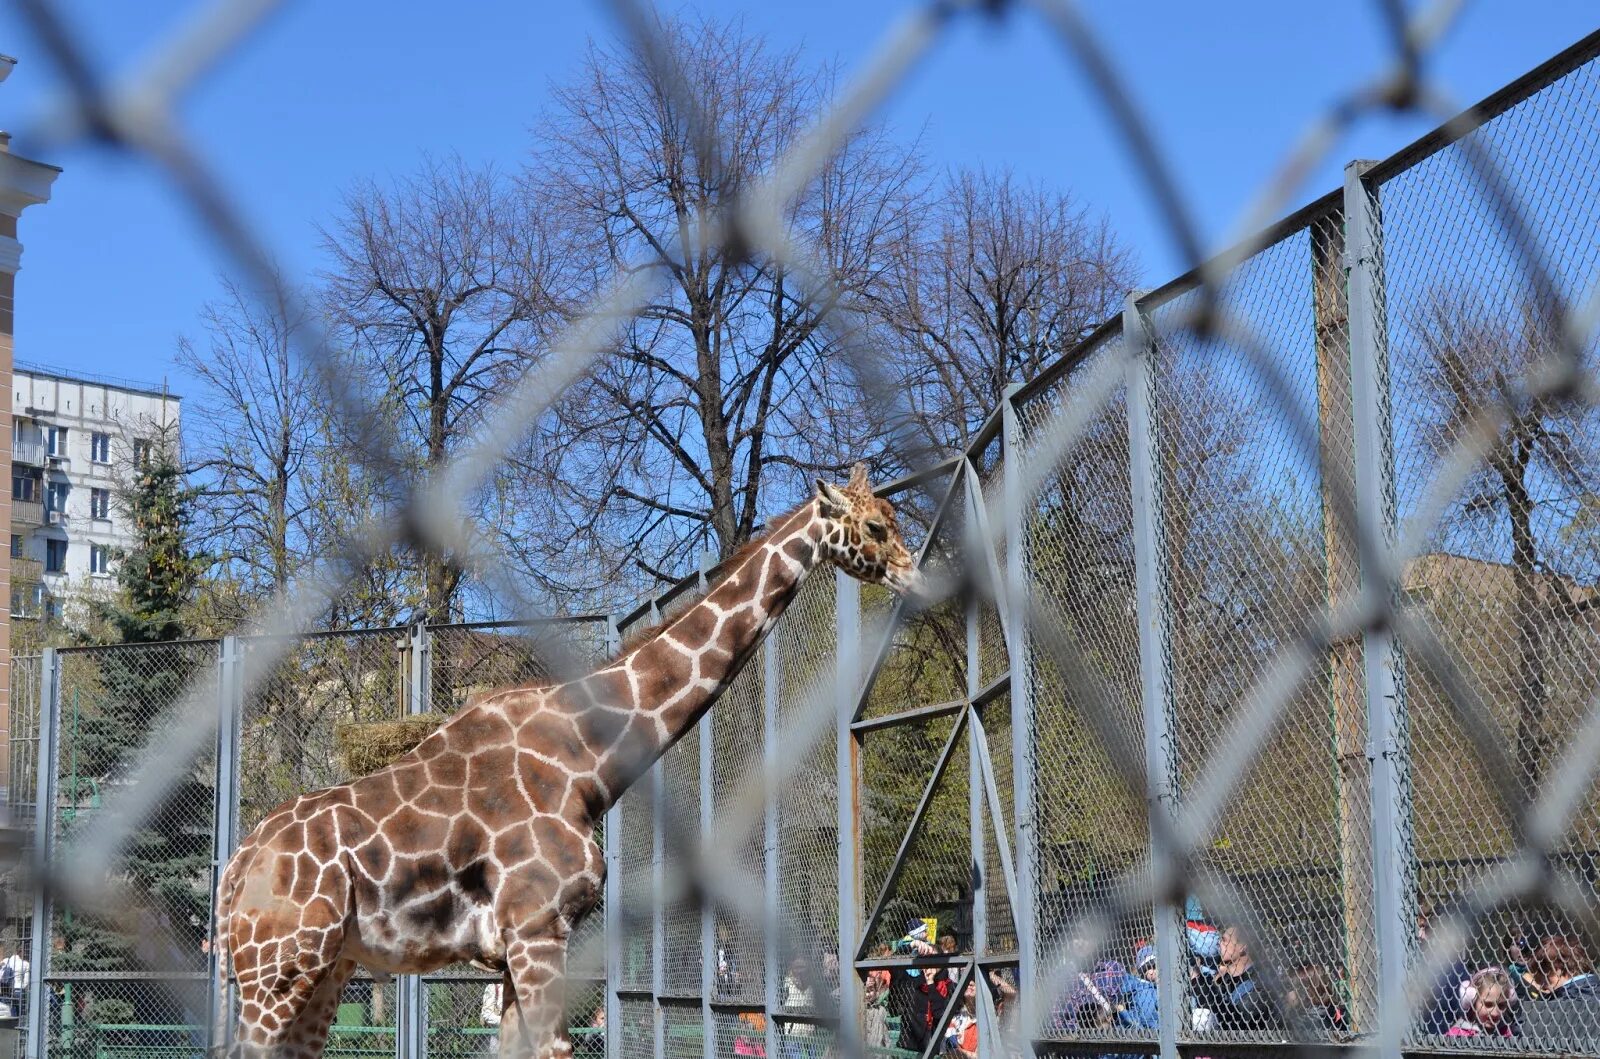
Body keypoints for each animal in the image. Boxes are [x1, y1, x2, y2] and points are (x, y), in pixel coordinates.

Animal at [212, 467, 928, 1059]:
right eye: (874, 526)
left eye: (897, 518)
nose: (916, 579)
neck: (588, 762)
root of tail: (235, 871)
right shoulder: (538, 930)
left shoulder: (512, 949)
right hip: (277, 966)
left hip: (325, 967)